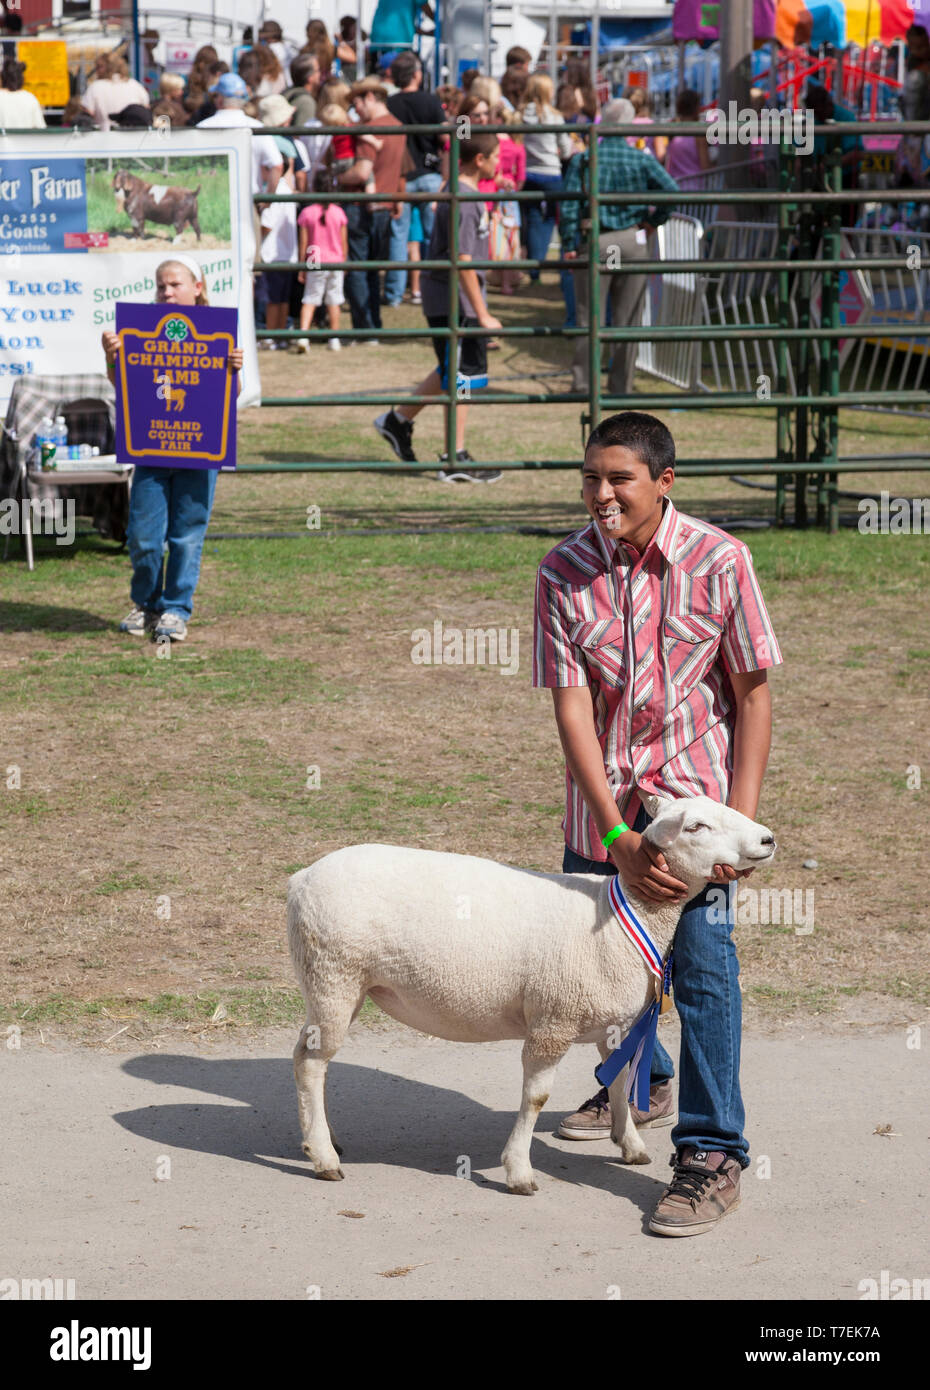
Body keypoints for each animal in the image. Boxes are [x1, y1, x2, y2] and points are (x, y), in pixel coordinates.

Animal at [286, 795, 772, 1195]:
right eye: (696, 827)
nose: (767, 838)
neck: (624, 915)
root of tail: (301, 879)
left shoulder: (614, 1024)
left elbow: (618, 1080)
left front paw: (630, 1144)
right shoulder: (553, 1018)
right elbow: (537, 1098)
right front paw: (519, 1170)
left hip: (341, 984)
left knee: (313, 1060)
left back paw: (325, 1140)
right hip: (333, 975)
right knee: (309, 1062)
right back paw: (323, 1156)